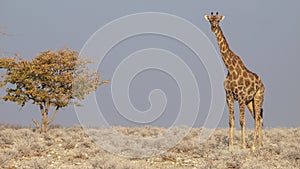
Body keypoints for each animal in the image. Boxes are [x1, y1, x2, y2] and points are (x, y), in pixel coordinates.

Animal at [204, 12, 264, 151]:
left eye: (218, 21)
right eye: (210, 20)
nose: (213, 28)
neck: (230, 69)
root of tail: (263, 84)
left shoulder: (241, 97)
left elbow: (242, 121)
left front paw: (242, 145)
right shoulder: (229, 96)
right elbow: (231, 121)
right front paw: (230, 146)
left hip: (258, 97)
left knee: (257, 118)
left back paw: (254, 146)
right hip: (250, 102)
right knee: (258, 118)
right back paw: (260, 144)